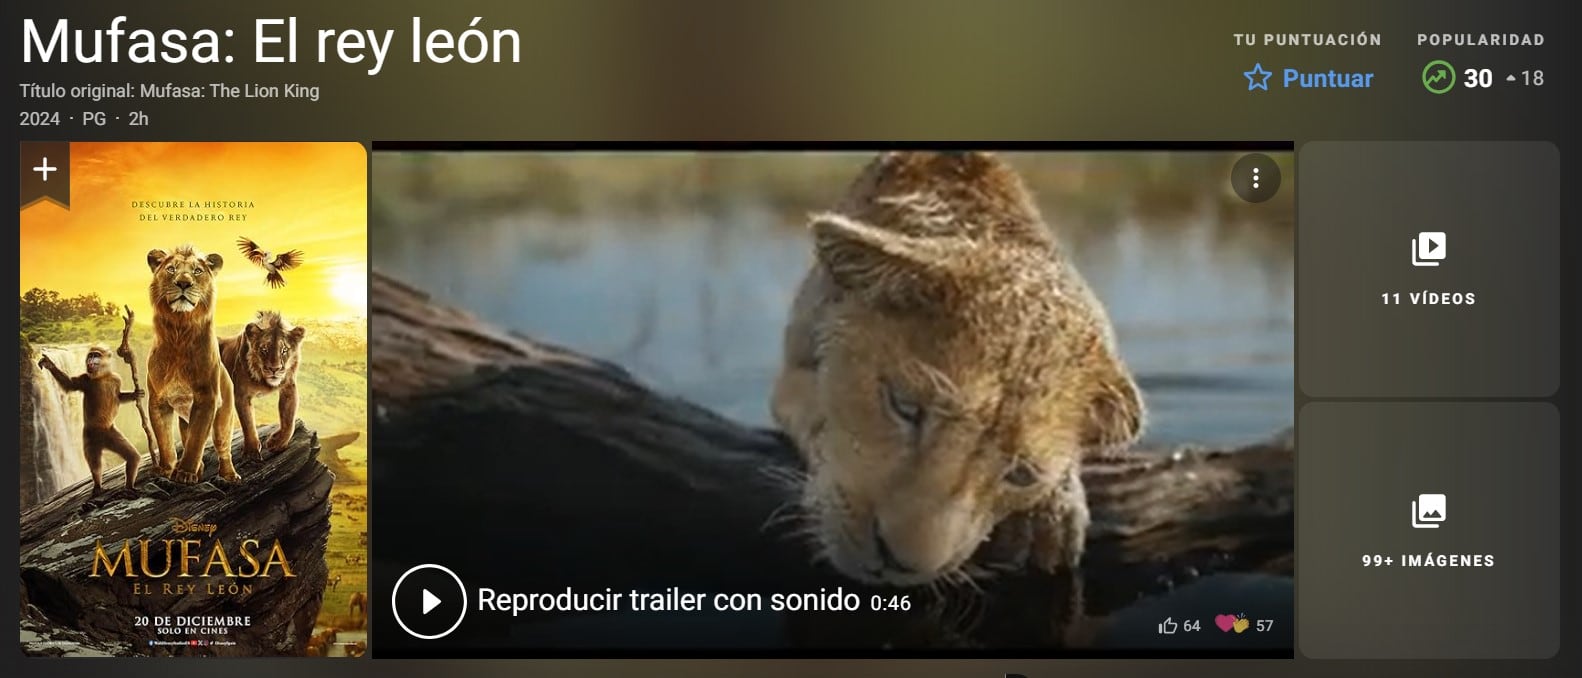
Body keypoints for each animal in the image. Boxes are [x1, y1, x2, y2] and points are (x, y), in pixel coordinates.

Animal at [146, 245, 239, 484]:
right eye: (171, 269)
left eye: (197, 271)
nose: (183, 283)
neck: (180, 331)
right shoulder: (158, 400)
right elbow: (165, 440)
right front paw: (166, 469)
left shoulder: (206, 399)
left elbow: (197, 441)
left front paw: (185, 473)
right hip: (184, 420)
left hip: (223, 418)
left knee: (223, 448)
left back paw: (229, 475)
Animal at [219, 310, 305, 461]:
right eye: (264, 349)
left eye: (284, 350)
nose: (274, 369)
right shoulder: (241, 394)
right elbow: (248, 423)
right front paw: (252, 452)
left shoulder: (289, 387)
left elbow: (289, 421)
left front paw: (277, 443)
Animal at [770, 152, 1144, 587]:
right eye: (904, 407)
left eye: (1021, 475)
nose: (897, 561)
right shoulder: (792, 369)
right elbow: (817, 420)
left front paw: (1049, 516)